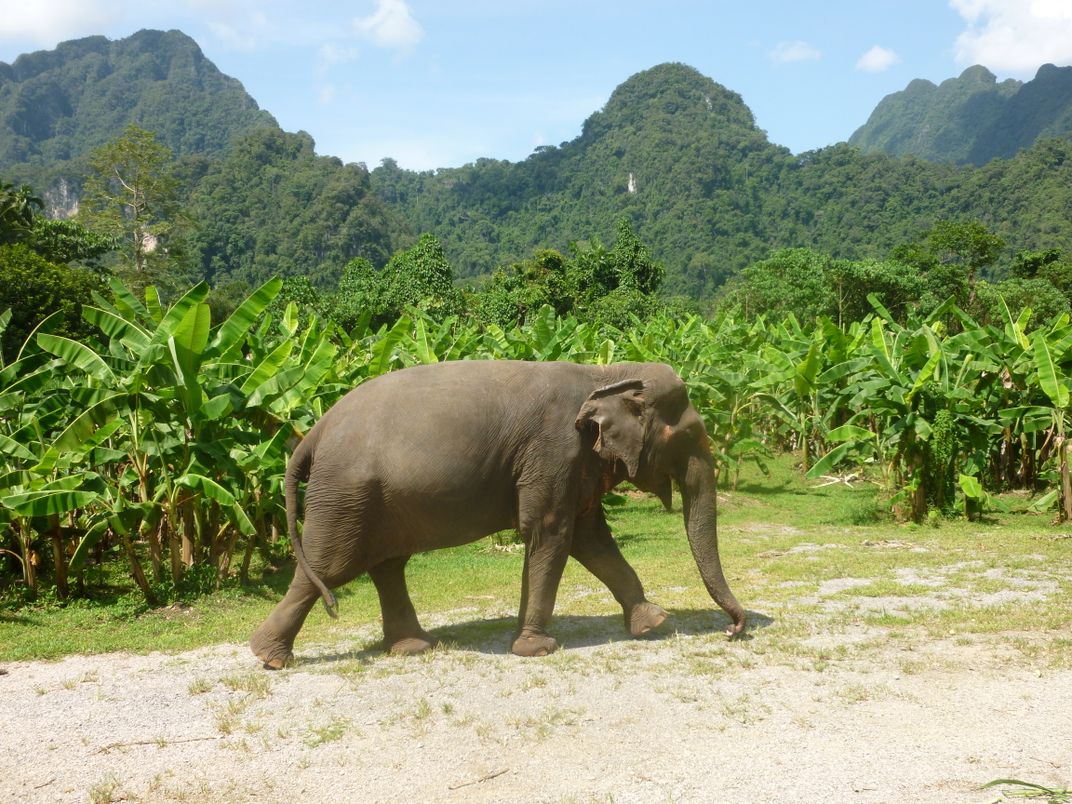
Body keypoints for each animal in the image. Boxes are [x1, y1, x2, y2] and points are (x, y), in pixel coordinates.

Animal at [250, 360, 746, 668]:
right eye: (686, 436)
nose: (733, 630)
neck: (605, 374)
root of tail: (313, 433)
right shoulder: (554, 453)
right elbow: (551, 532)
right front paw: (537, 648)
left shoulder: (574, 466)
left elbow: (590, 538)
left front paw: (653, 622)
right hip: (346, 496)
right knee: (329, 567)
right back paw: (270, 658)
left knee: (386, 566)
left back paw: (414, 649)